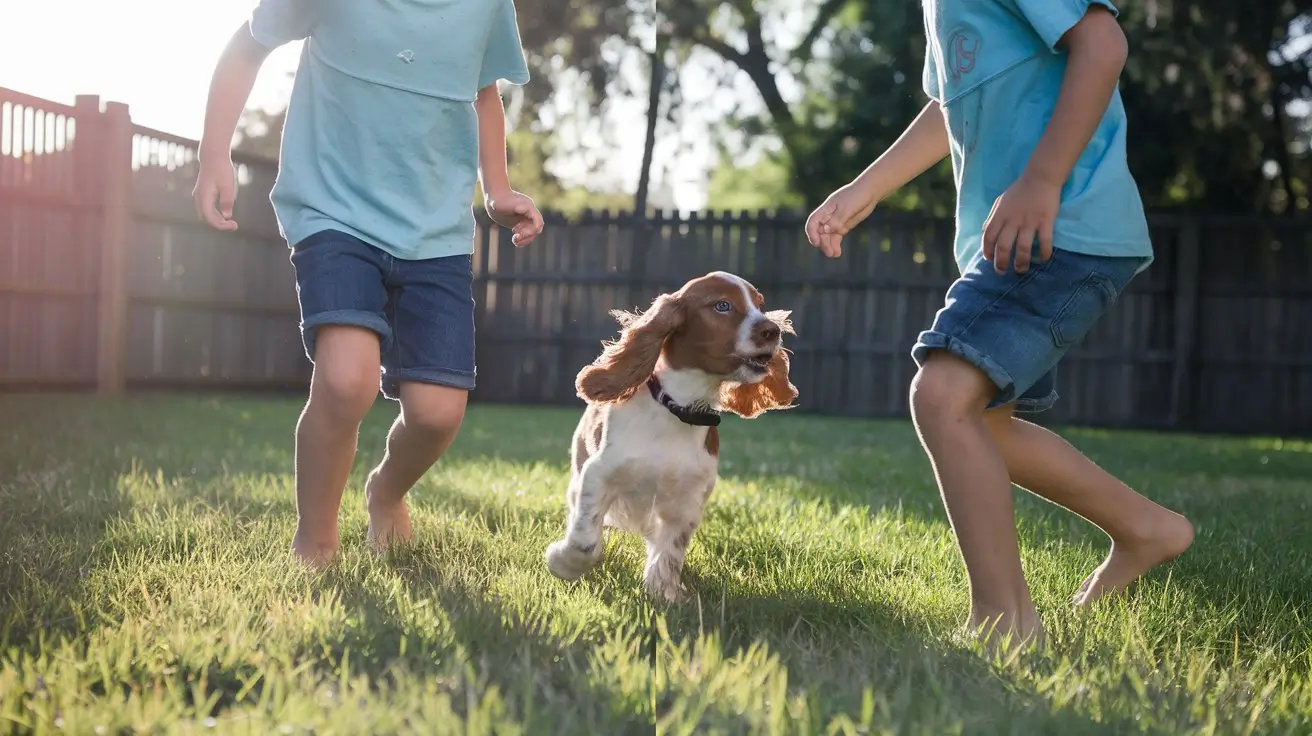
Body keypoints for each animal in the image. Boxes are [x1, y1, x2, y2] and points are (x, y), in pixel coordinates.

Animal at [545, 270, 797, 603]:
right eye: (722, 305)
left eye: (760, 305)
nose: (772, 330)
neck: (677, 409)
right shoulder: (598, 474)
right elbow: (584, 539)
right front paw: (562, 562)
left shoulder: (687, 500)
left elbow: (670, 552)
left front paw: (665, 594)